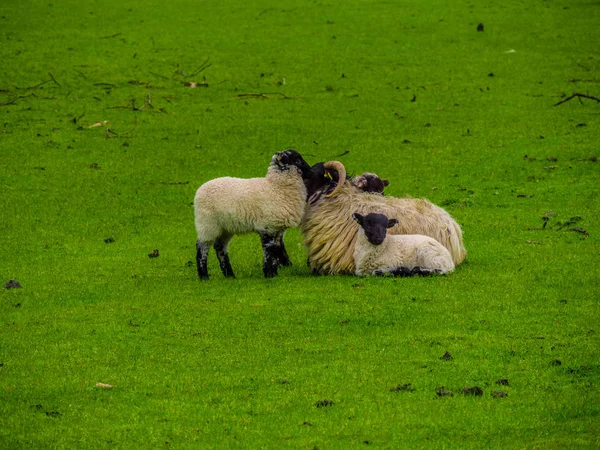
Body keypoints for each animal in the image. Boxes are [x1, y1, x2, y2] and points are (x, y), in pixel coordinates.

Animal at [193, 149, 314, 280]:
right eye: (297, 159)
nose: (312, 172)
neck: (276, 186)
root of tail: (200, 190)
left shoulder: (277, 228)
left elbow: (277, 249)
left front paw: (274, 272)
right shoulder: (267, 226)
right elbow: (269, 250)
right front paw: (269, 274)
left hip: (225, 227)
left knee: (220, 247)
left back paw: (230, 275)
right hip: (207, 224)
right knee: (202, 248)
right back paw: (204, 276)